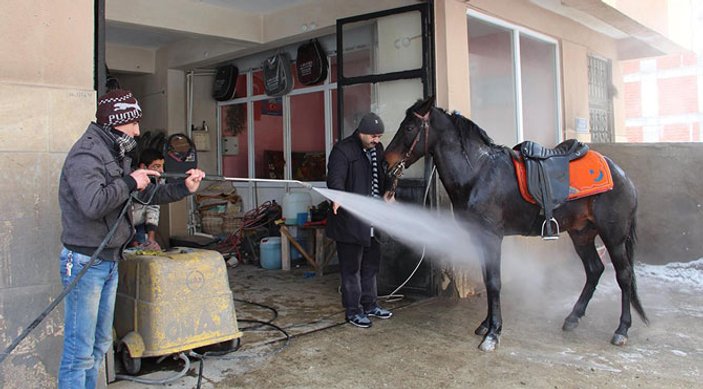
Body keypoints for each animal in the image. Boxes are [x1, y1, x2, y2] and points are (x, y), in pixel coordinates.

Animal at [384, 97, 648, 352]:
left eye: (409, 127)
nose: (386, 162)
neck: (478, 172)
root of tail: (623, 176)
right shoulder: (480, 237)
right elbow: (487, 278)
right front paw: (486, 325)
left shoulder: (492, 237)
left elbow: (494, 282)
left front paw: (493, 334)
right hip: (581, 233)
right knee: (594, 270)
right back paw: (573, 318)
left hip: (613, 236)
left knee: (624, 276)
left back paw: (621, 330)